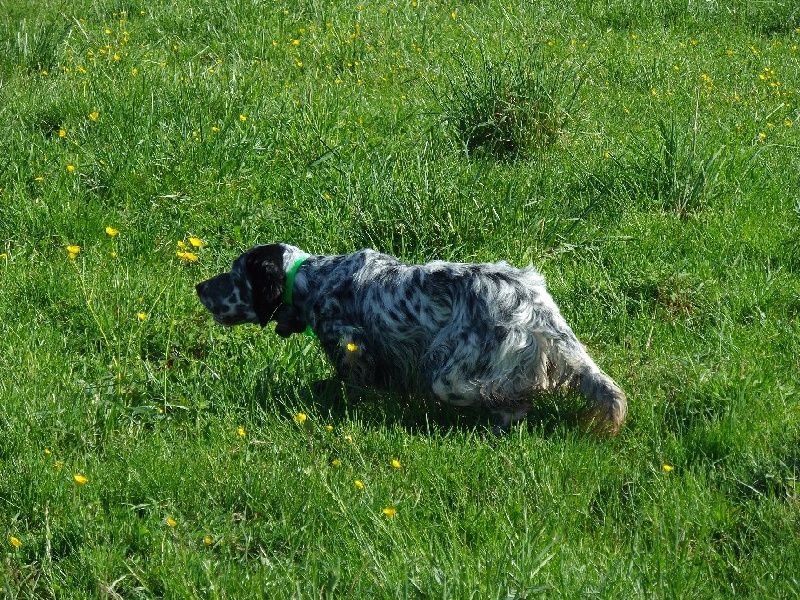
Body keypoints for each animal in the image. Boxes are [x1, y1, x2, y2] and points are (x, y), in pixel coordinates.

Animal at [197, 241, 628, 434]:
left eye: (235, 275)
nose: (200, 287)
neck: (314, 279)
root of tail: (534, 302)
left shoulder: (351, 342)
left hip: (450, 375)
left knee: (514, 396)